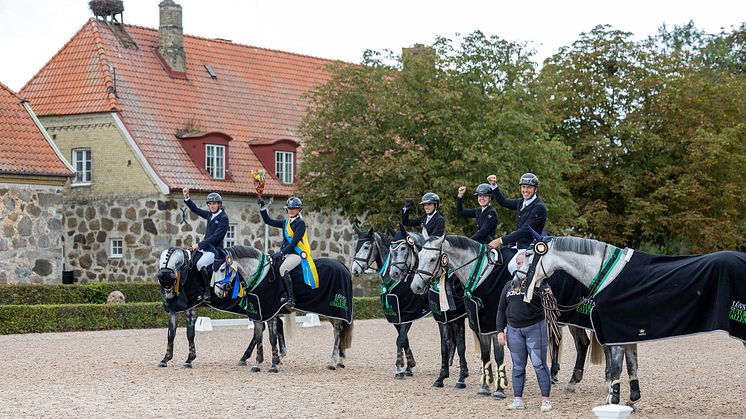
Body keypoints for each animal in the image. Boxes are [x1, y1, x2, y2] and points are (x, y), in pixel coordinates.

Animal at [154, 248, 284, 372]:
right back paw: (249, 358)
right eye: (162, 282)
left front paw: (189, 360)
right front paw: (165, 359)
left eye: (170, 281)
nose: (168, 298)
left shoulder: (191, 308)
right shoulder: (173, 310)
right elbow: (171, 334)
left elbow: (190, 333)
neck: (187, 268)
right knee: (267, 327)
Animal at [211, 244, 354, 370]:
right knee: (339, 332)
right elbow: (260, 336)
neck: (261, 275)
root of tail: (342, 266)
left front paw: (274, 364)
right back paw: (340, 361)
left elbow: (272, 338)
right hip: (329, 312)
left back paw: (333, 362)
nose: (218, 292)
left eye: (222, 269)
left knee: (337, 332)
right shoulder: (260, 312)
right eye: (212, 270)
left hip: (335, 310)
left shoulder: (269, 311)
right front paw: (259, 364)